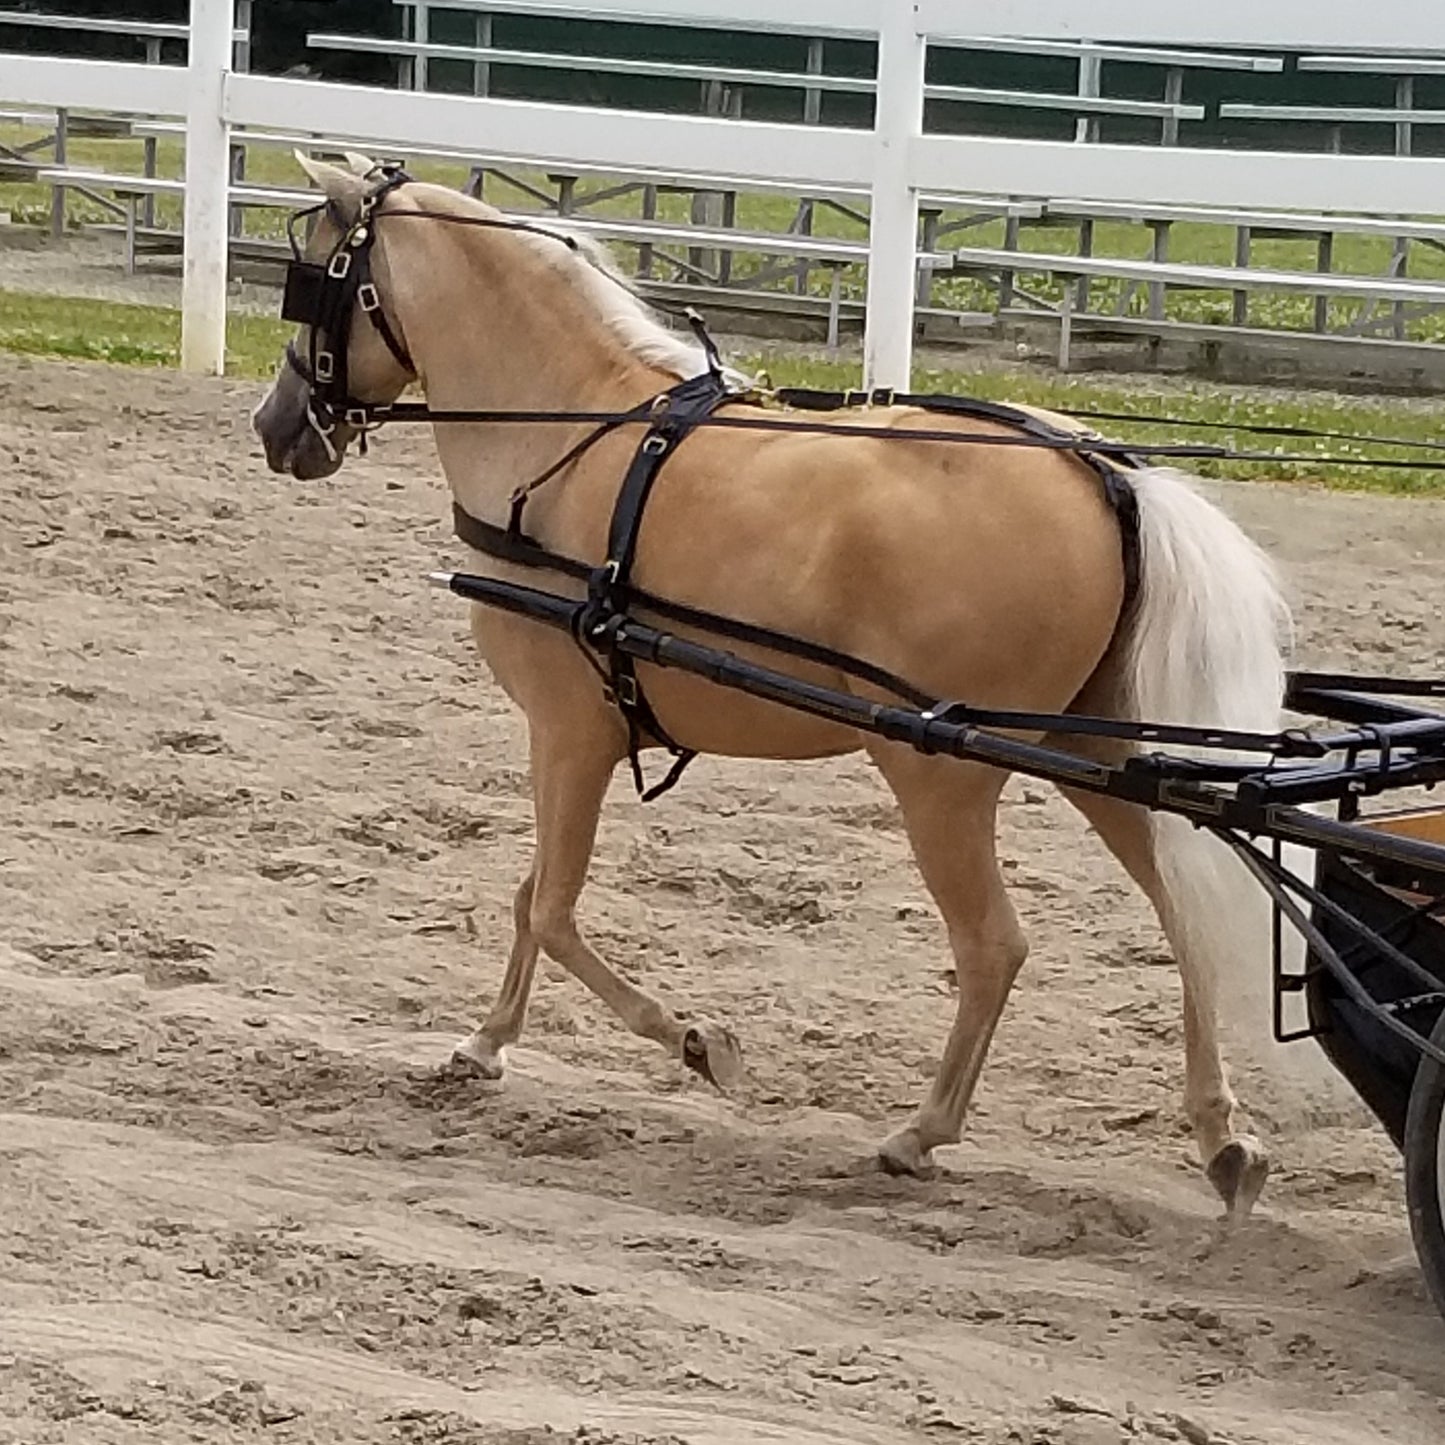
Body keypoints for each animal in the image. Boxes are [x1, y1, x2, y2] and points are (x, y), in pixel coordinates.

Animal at [254, 161, 1294, 1219]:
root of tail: (1101, 470)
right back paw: (1221, 1137)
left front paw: (696, 1042)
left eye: (308, 276)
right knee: (1183, 913)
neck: (570, 434)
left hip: (940, 777)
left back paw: (921, 1132)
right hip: (1095, 751)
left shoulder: (568, 732)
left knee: (994, 947)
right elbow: (529, 896)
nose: (276, 424)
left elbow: (550, 906)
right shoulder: (569, 739)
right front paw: (486, 1040)